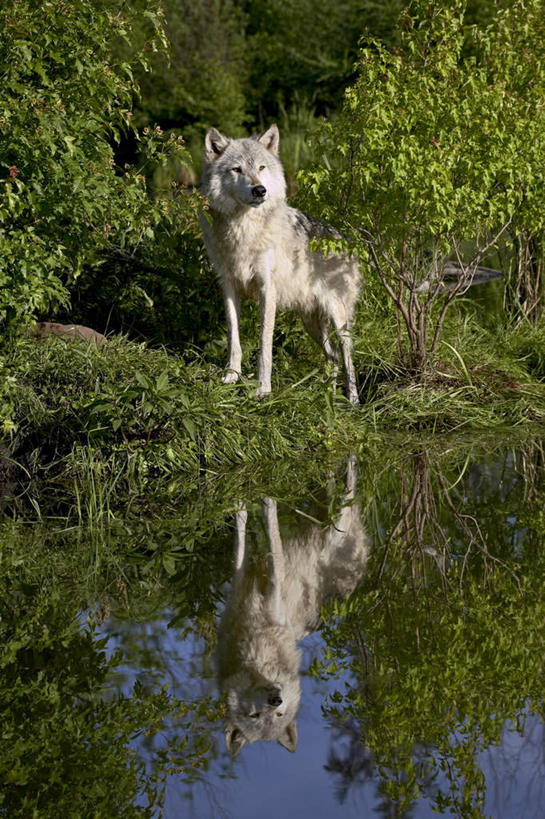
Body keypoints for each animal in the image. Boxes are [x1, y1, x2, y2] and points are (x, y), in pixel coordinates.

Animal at [200, 124, 362, 404]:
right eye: (237, 169)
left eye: (262, 168)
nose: (259, 190)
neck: (243, 229)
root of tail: (345, 241)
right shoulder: (228, 286)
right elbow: (234, 339)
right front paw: (231, 377)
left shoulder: (268, 290)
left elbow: (265, 346)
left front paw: (263, 389)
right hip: (311, 323)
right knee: (331, 357)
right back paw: (328, 397)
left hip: (338, 317)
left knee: (347, 357)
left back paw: (352, 400)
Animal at [215, 454, 368, 756]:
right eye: (255, 716)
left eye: (279, 715)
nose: (276, 698)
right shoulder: (239, 580)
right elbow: (242, 546)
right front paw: (243, 508)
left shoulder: (273, 587)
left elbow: (271, 543)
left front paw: (265, 502)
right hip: (320, 517)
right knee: (335, 492)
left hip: (335, 527)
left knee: (348, 492)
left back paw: (347, 460)